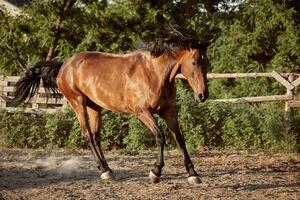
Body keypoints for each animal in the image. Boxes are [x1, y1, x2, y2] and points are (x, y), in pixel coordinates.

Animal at [2, 34, 209, 184]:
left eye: (207, 63)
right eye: (194, 62)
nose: (202, 96)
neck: (154, 74)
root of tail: (64, 65)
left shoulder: (168, 111)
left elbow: (179, 139)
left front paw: (193, 174)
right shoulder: (142, 112)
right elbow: (160, 137)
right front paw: (155, 173)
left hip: (95, 107)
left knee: (95, 137)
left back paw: (108, 170)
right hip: (78, 103)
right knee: (87, 135)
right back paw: (104, 170)